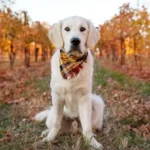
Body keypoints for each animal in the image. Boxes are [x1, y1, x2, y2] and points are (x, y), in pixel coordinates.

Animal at [35, 15, 105, 149]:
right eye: (67, 29)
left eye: (82, 29)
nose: (75, 41)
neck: (71, 63)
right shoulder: (57, 97)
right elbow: (56, 124)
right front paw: (49, 139)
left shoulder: (84, 98)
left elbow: (87, 128)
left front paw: (92, 142)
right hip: (52, 113)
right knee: (54, 126)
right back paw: (46, 132)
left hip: (97, 102)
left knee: (86, 128)